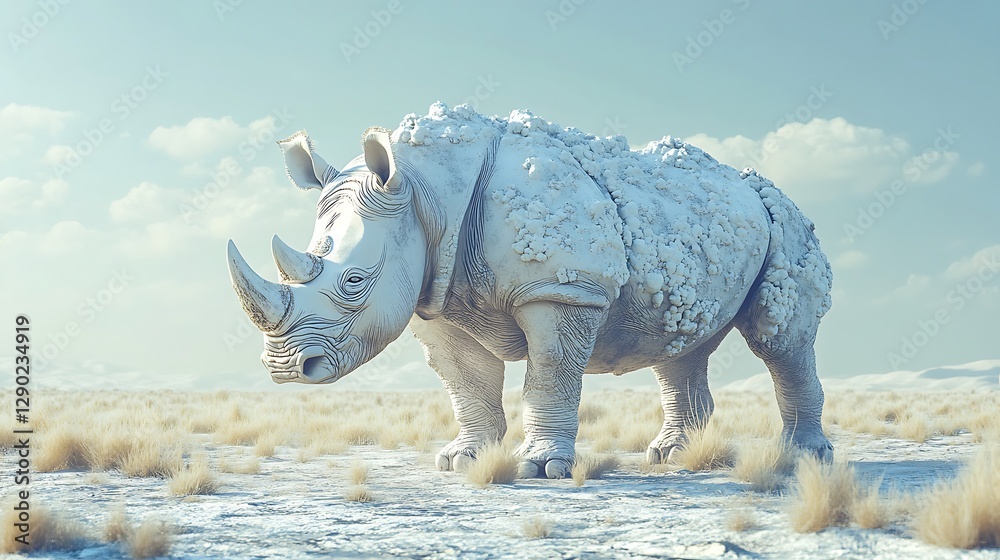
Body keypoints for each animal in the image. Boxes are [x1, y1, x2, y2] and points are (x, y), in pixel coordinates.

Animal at [226, 103, 834, 479]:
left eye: (354, 282)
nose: (284, 368)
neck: (424, 189)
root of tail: (759, 184)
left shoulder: (562, 289)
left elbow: (549, 374)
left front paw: (539, 470)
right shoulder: (435, 299)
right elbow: (467, 383)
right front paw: (462, 461)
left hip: (785, 219)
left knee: (780, 341)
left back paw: (805, 459)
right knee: (680, 346)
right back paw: (669, 458)